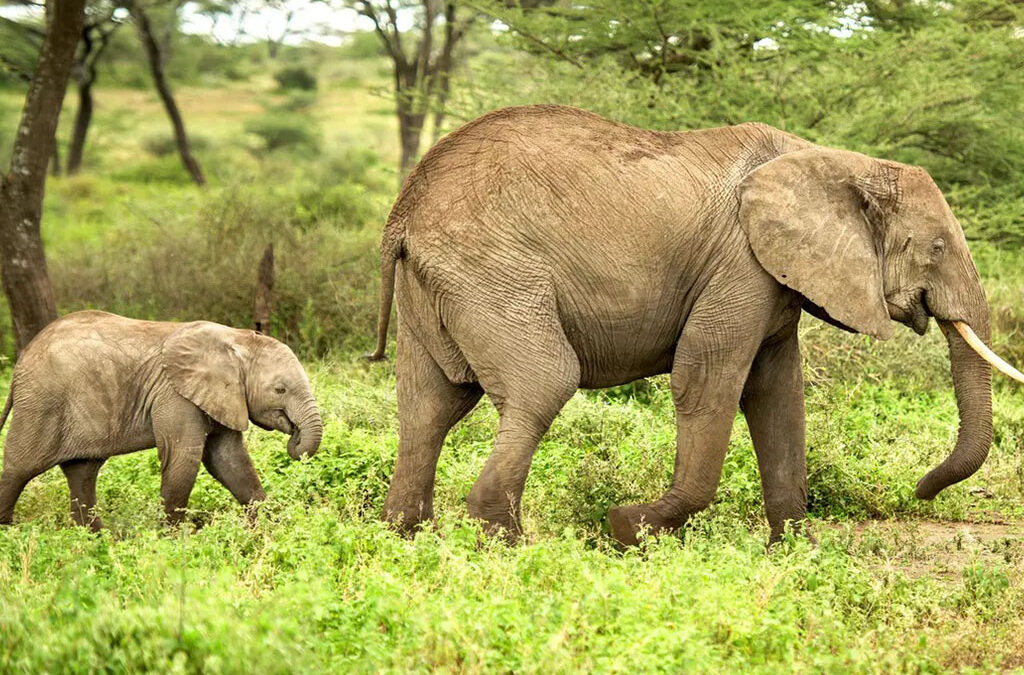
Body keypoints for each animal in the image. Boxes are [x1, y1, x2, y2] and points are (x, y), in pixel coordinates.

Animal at [0, 310, 322, 530]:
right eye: (280, 390)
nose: (295, 437)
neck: (236, 339)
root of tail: (21, 361)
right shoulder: (176, 395)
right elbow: (184, 459)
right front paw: (176, 541)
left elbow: (229, 460)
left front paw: (271, 528)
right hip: (42, 403)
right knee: (19, 468)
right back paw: (11, 533)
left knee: (82, 473)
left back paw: (100, 540)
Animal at [367, 104, 1023, 546]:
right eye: (936, 247)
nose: (919, 489)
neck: (834, 159)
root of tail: (405, 209)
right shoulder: (740, 264)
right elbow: (707, 381)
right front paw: (627, 528)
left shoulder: (774, 278)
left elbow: (777, 394)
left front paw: (798, 552)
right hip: (490, 272)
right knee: (543, 382)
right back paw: (502, 542)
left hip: (438, 287)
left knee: (428, 404)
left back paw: (403, 536)